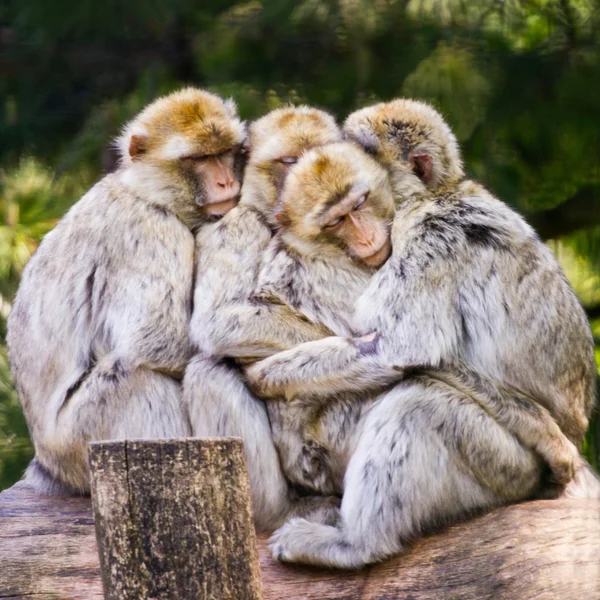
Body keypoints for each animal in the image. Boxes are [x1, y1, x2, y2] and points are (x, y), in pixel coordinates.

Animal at [7, 86, 246, 494]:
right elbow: (159, 339)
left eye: (225, 152)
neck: (145, 191)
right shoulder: (149, 229)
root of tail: (48, 463)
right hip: (79, 441)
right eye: (199, 158)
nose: (226, 183)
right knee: (138, 378)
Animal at [243, 101, 596, 564]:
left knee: (419, 405)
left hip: (504, 464)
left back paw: (355, 543)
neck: (435, 193)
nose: (364, 232)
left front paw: (269, 375)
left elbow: (401, 348)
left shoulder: (430, 236)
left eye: (365, 157)